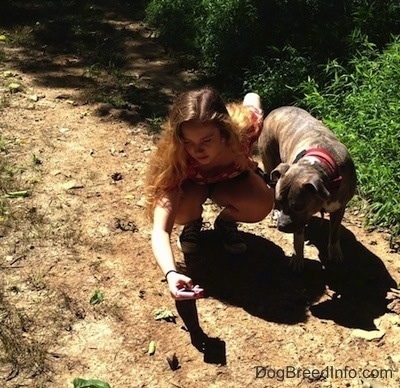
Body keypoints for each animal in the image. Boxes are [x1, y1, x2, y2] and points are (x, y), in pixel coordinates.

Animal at [258, 106, 358, 270]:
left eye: (298, 206)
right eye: (282, 201)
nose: (281, 226)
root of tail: (277, 109)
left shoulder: (339, 207)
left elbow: (334, 232)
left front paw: (335, 251)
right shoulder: (298, 220)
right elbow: (298, 239)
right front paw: (297, 258)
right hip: (270, 162)